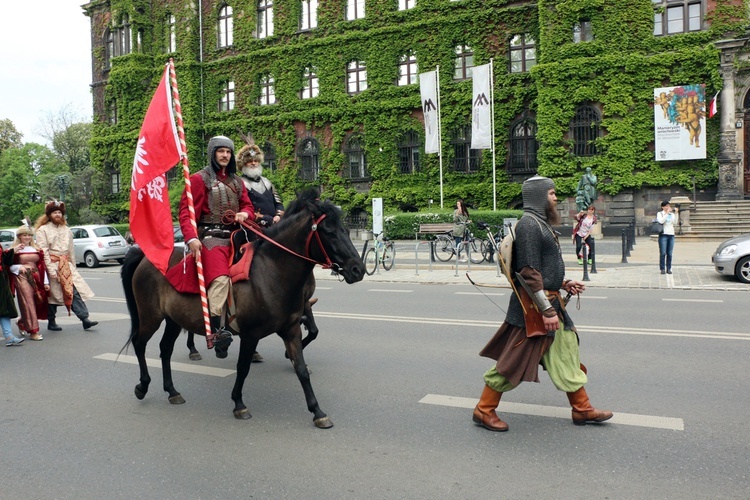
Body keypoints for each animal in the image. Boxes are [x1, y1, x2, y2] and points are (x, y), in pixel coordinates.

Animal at [121, 189, 368, 428]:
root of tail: (145, 257)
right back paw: (143, 386)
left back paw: (172, 391)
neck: (271, 272)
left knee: (165, 349)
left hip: (173, 319)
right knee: (139, 343)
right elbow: (243, 367)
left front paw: (318, 412)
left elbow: (301, 369)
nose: (358, 269)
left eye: (346, 230)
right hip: (150, 316)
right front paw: (239, 404)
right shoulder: (251, 334)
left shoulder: (291, 329)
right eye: (329, 232)